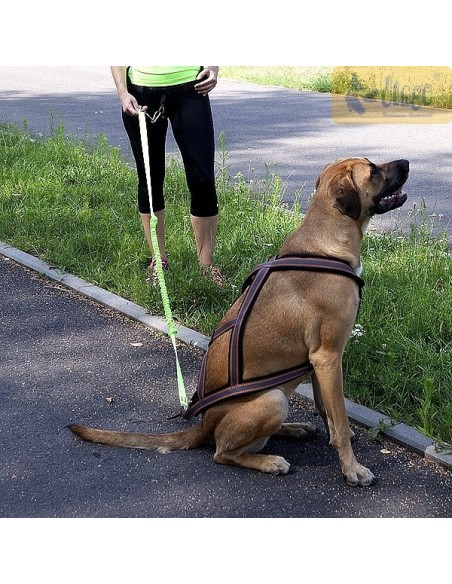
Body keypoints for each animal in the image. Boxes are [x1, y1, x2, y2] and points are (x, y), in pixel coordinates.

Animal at [69, 157, 410, 486]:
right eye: (374, 170)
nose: (406, 163)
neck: (326, 240)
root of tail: (203, 424)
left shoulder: (318, 361)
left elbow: (326, 409)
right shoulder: (328, 356)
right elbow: (338, 418)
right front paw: (352, 469)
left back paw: (293, 428)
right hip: (272, 399)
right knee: (223, 452)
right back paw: (270, 461)